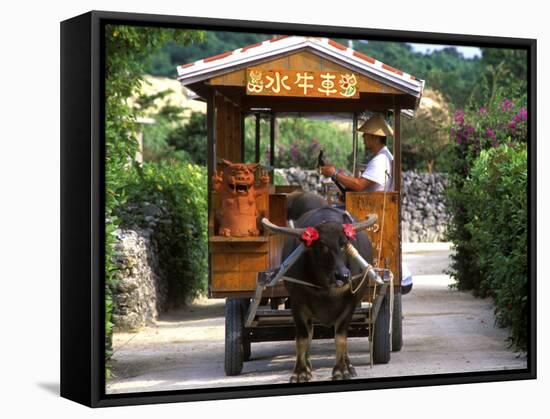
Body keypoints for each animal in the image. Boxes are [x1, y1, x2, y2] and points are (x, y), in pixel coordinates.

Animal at [264, 192, 378, 382]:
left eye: (343, 243)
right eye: (322, 246)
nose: (343, 276)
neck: (326, 290)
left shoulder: (351, 304)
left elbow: (341, 337)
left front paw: (341, 370)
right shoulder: (297, 304)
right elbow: (302, 338)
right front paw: (300, 372)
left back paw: (349, 365)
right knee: (309, 334)